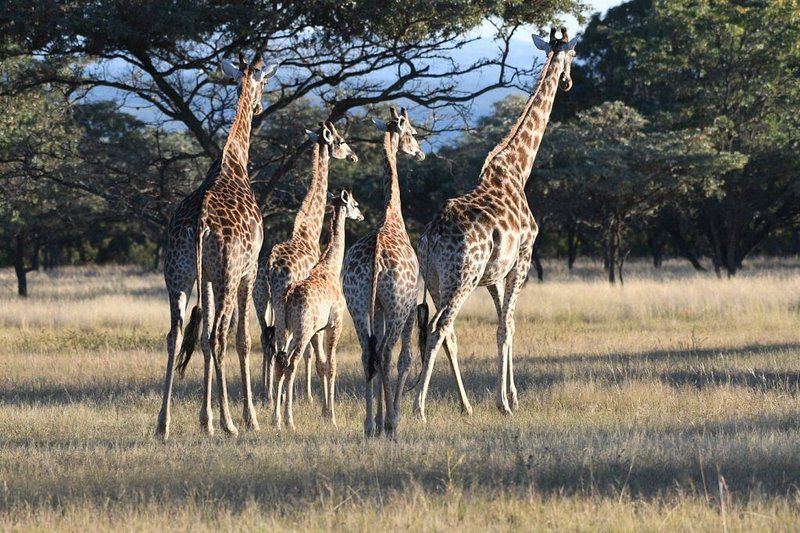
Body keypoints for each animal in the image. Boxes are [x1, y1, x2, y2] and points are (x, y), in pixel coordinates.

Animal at [155, 53, 278, 440]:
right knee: (222, 336)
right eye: (264, 82)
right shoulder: (248, 271)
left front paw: (204, 420)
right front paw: (246, 417)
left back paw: (162, 424)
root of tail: (199, 224)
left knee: (176, 334)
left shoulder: (205, 276)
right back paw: (231, 423)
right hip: (227, 275)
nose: (259, 106)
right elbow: (243, 339)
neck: (235, 161)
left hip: (178, 274)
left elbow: (204, 340)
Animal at [255, 120, 358, 406]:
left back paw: (266, 394)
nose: (353, 156)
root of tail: (269, 267)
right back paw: (276, 397)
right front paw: (311, 397)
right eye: (340, 140)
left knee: (267, 340)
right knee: (283, 348)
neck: (307, 231)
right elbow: (313, 354)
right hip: (281, 303)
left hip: (259, 300)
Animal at [274, 187, 364, 428]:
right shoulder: (335, 323)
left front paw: (324, 413)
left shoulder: (318, 330)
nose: (361, 216)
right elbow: (332, 365)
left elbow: (321, 364)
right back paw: (289, 421)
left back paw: (275, 420)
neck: (331, 267)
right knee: (291, 364)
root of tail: (287, 297)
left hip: (282, 329)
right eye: (355, 203)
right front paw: (331, 417)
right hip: (301, 331)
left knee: (279, 362)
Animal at [346, 106, 432, 434]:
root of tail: (375, 260)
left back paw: (369, 424)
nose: (420, 153)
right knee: (384, 352)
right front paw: (393, 417)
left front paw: (380, 417)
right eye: (411, 132)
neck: (391, 215)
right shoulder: (407, 308)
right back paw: (389, 424)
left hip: (357, 304)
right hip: (396, 306)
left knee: (367, 352)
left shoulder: (378, 307)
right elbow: (404, 358)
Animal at [412, 28, 576, 420]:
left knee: (447, 331)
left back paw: (465, 405)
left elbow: (506, 325)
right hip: (461, 276)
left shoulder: (495, 274)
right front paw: (504, 403)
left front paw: (511, 396)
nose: (568, 82)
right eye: (574, 54)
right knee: (439, 327)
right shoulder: (524, 257)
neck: (518, 168)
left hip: (437, 278)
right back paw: (419, 407)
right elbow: (506, 326)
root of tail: (431, 237)